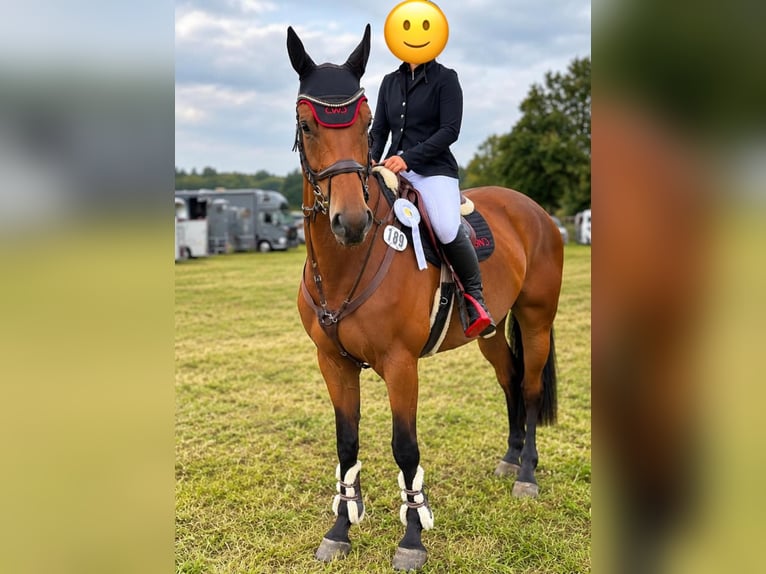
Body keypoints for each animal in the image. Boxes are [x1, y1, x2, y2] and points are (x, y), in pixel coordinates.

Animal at [287, 25, 564, 571]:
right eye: (307, 125)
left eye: (366, 123)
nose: (351, 222)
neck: (347, 264)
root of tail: (535, 211)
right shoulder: (333, 362)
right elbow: (346, 443)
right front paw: (339, 529)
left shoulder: (400, 364)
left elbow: (405, 448)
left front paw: (412, 539)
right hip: (491, 331)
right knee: (509, 379)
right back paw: (509, 458)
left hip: (537, 321)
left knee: (529, 387)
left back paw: (526, 475)